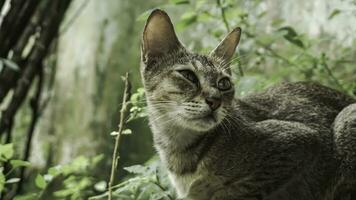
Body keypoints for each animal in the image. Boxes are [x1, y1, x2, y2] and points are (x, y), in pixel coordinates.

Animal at [139, 8, 356, 199]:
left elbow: (238, 190)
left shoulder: (301, 140)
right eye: (188, 75)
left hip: (346, 121)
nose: (215, 101)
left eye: (224, 83)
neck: (179, 147)